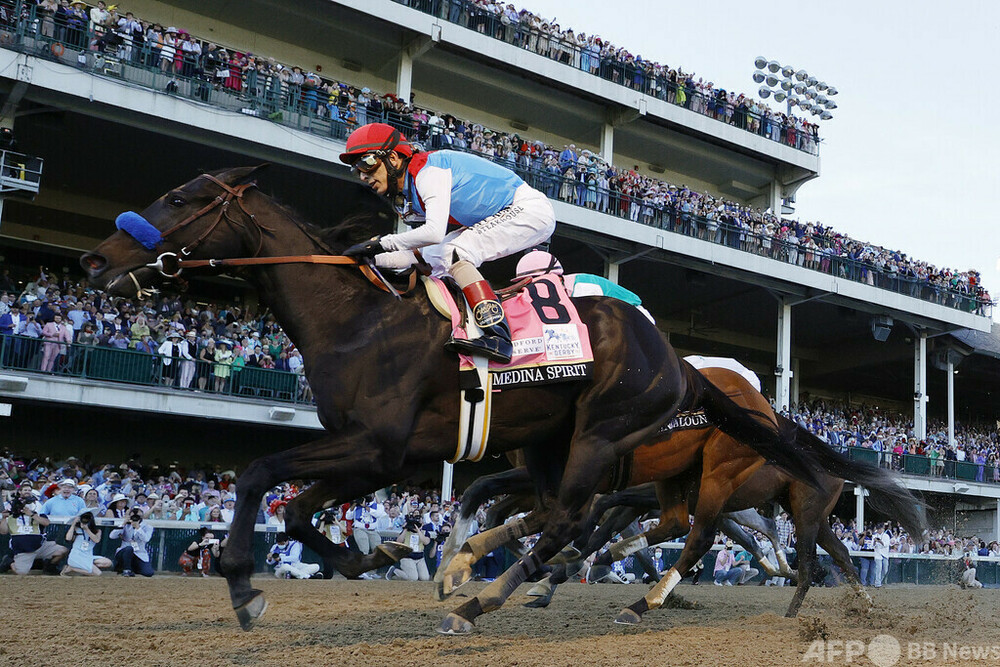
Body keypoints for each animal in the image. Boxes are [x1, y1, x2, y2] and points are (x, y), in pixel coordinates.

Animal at [78, 170, 828, 636]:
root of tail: (679, 361)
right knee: (578, 516)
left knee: (594, 522)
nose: (95, 260)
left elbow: (259, 474)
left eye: (179, 198)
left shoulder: (378, 446)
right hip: (562, 445)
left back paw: (485, 601)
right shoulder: (371, 454)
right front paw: (372, 556)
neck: (356, 321)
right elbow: (293, 508)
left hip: (613, 441)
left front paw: (243, 585)